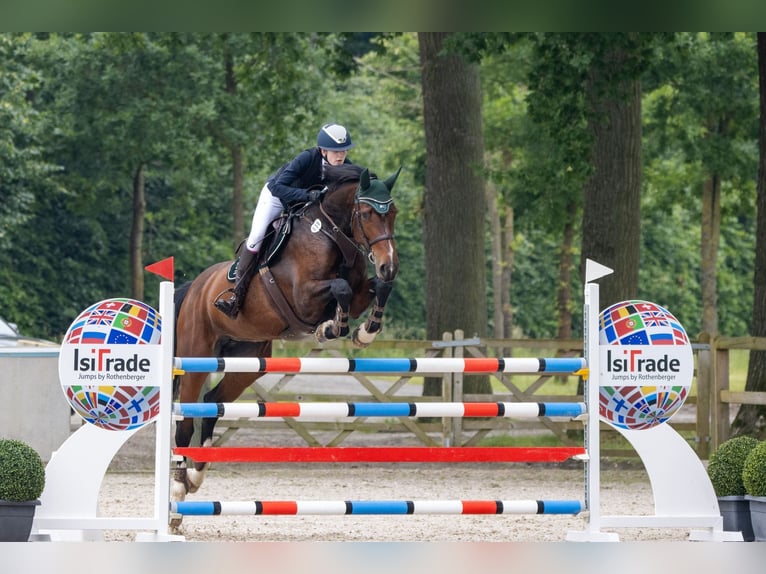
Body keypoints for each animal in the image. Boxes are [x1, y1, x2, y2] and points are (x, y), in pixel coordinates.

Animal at [170, 163, 400, 529]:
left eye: (393, 213)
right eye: (366, 214)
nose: (389, 264)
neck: (334, 233)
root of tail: (195, 287)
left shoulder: (360, 289)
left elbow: (376, 288)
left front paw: (365, 331)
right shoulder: (304, 297)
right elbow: (340, 288)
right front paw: (333, 328)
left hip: (249, 359)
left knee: (212, 403)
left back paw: (196, 475)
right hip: (197, 355)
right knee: (188, 418)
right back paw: (178, 493)